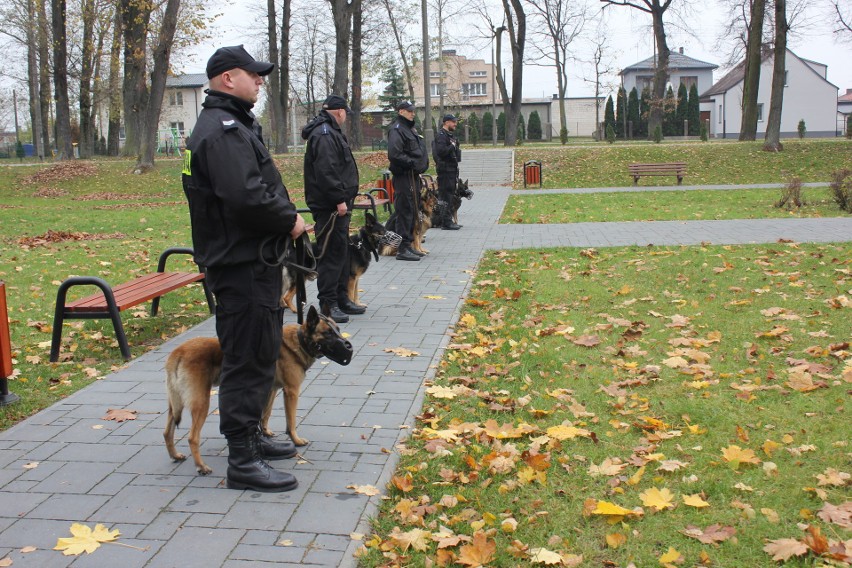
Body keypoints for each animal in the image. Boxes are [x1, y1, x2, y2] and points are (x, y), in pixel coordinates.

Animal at [163, 306, 352, 474]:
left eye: (337, 329)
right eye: (328, 333)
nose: (348, 346)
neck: (299, 341)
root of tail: (178, 353)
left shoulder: (270, 390)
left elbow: (264, 414)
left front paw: (265, 434)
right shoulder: (291, 391)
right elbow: (291, 421)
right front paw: (296, 440)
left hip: (175, 404)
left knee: (167, 432)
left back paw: (175, 455)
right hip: (201, 402)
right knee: (192, 438)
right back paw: (201, 466)